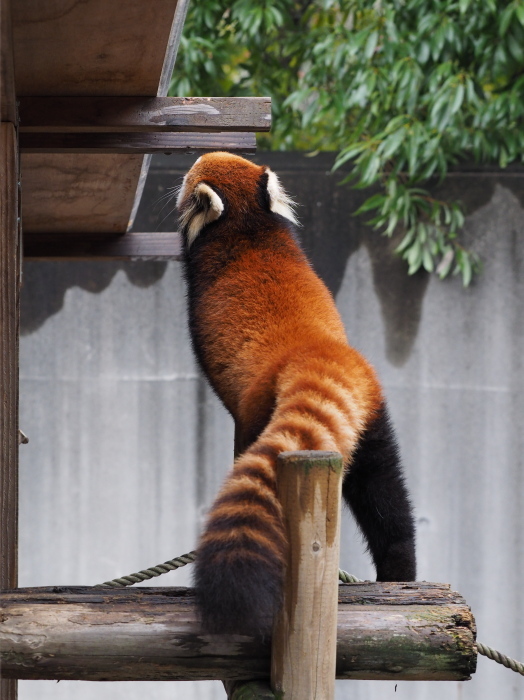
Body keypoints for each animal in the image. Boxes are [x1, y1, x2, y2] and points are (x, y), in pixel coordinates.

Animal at [178, 153, 416, 636]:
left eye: (190, 175)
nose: (182, 173)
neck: (248, 223)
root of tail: (315, 353)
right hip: (373, 418)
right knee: (386, 496)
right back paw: (400, 572)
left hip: (257, 410)